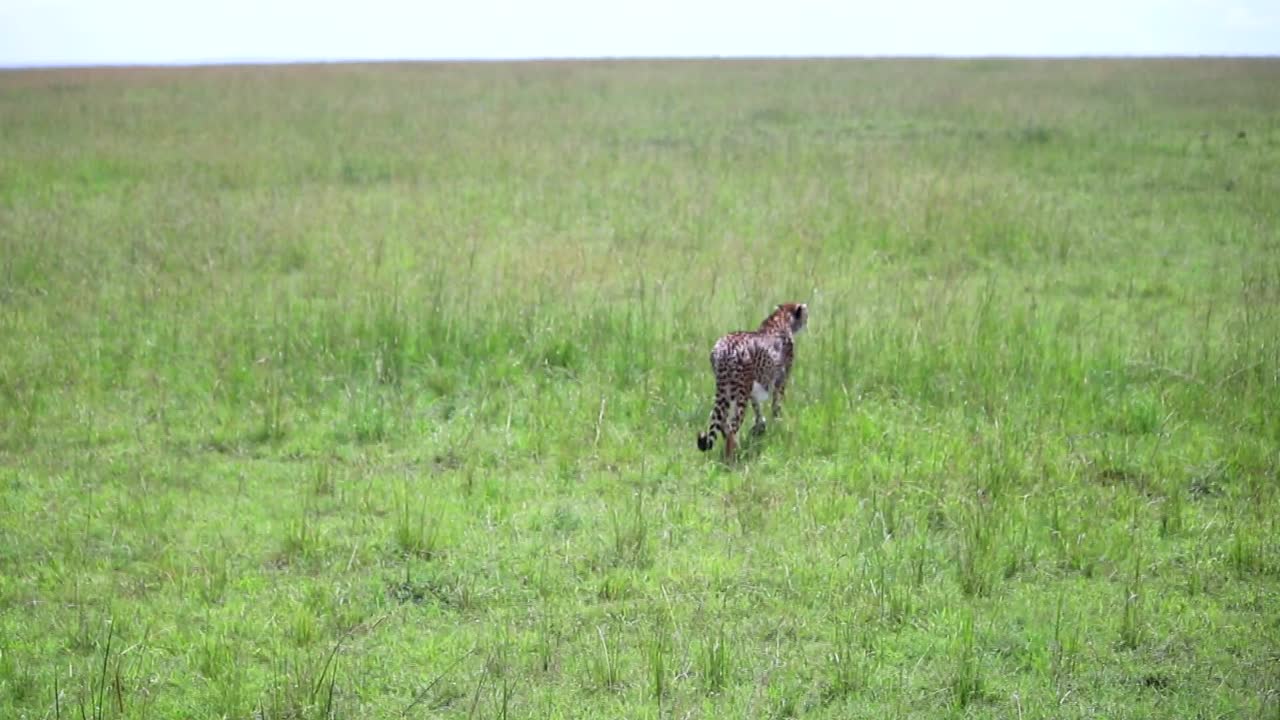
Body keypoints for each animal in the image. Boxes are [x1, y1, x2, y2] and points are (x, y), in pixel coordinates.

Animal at [697, 302, 808, 460]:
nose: (806, 321)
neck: (781, 318)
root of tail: (724, 349)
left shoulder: (753, 385)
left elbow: (757, 408)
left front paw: (759, 427)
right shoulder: (780, 381)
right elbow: (776, 405)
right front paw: (776, 425)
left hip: (728, 390)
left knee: (720, 419)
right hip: (739, 394)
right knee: (732, 428)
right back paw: (731, 458)